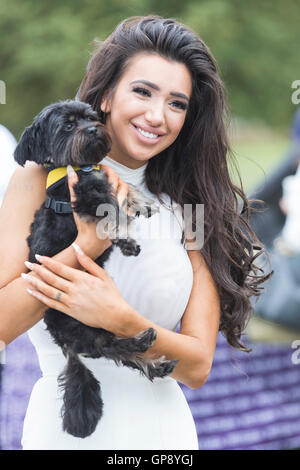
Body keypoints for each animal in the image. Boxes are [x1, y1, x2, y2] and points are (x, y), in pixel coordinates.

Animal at [14, 100, 178, 440]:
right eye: (67, 125)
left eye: (91, 117)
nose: (93, 129)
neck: (83, 167)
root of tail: (65, 344)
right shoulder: (86, 196)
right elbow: (112, 212)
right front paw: (126, 237)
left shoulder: (103, 178)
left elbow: (121, 186)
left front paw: (141, 201)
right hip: (82, 325)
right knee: (108, 348)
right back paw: (143, 349)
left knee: (115, 352)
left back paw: (153, 360)